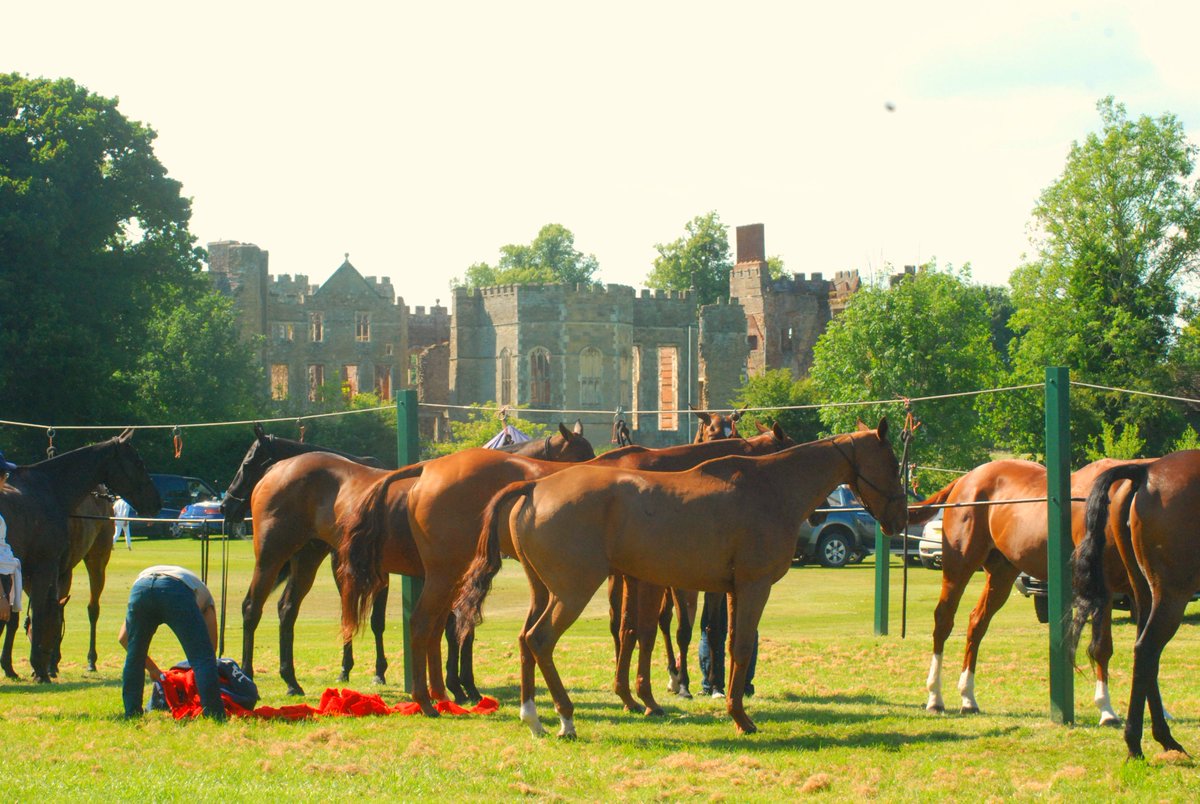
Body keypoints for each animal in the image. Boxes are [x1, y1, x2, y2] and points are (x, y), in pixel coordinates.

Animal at [0, 430, 160, 682]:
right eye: (139, 463)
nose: (157, 501)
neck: (50, 489)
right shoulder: (42, 567)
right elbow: (38, 612)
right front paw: (35, 667)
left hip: (95, 563)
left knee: (92, 609)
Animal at [240, 422, 592, 695]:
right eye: (245, 463)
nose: (232, 500)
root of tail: (278, 472)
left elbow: (458, 628)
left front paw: (461, 685)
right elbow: (453, 628)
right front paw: (458, 685)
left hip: (307, 557)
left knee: (287, 609)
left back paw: (291, 680)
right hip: (272, 555)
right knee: (252, 607)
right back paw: (249, 675)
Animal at [454, 420, 906, 738]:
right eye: (893, 464)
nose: (901, 518)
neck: (770, 487)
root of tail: (533, 486)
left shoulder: (727, 591)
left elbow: (722, 643)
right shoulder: (752, 586)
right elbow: (738, 646)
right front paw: (739, 716)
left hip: (544, 591)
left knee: (525, 640)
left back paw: (533, 715)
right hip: (573, 592)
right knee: (540, 640)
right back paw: (564, 718)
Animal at [912, 457, 1149, 723]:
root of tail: (965, 480)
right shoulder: (1103, 591)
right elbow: (1103, 648)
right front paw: (1106, 710)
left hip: (1001, 574)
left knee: (976, 623)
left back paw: (968, 698)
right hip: (959, 567)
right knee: (943, 621)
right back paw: (935, 697)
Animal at [1071, 451, 1200, 759]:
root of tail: (1147, 471)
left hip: (1144, 591)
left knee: (1146, 653)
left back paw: (1164, 738)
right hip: (1171, 595)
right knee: (1146, 650)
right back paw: (1136, 742)